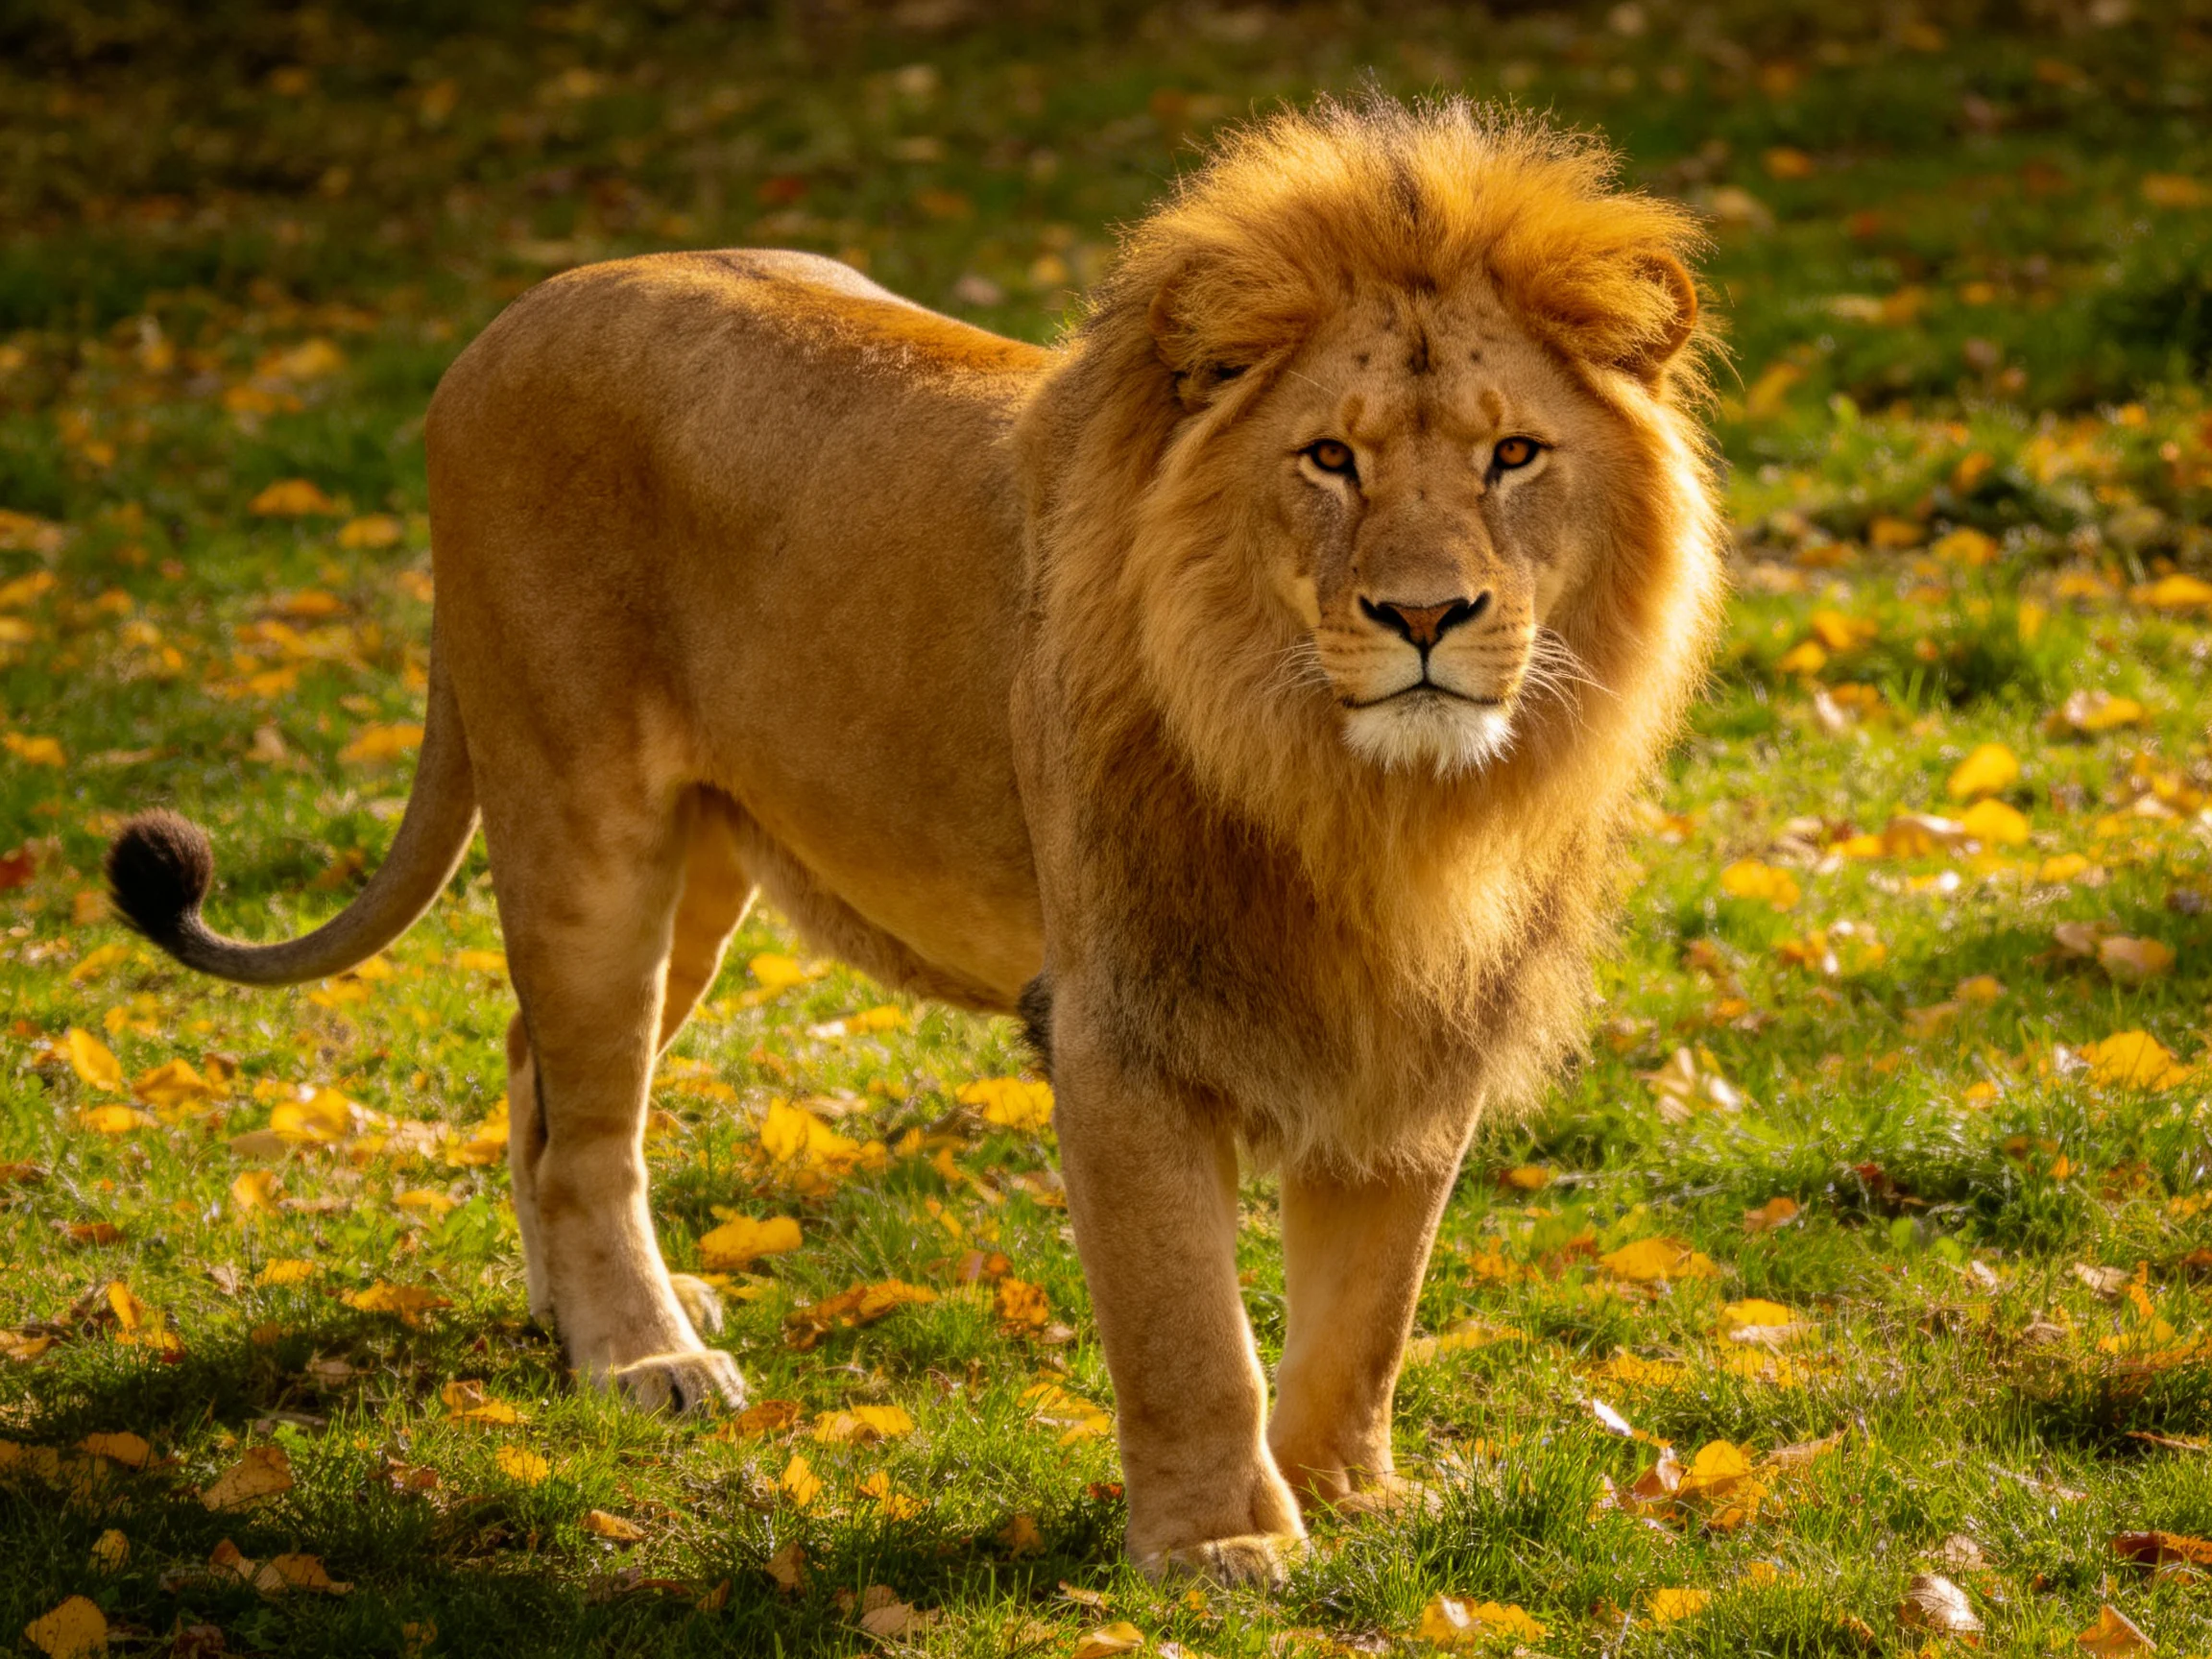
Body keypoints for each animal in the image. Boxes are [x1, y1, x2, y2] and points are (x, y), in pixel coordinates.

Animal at [106, 98, 1723, 1585]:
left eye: (1513, 454)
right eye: (1329, 457)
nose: (1425, 614)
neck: (1371, 801)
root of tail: (511, 318)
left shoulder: (1413, 1021)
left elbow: (1371, 1303)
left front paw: (1349, 1496)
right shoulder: (1119, 1024)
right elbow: (1189, 1322)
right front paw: (1219, 1545)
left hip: (706, 875)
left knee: (541, 1078)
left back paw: (579, 1323)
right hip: (585, 830)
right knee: (593, 1127)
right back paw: (641, 1362)